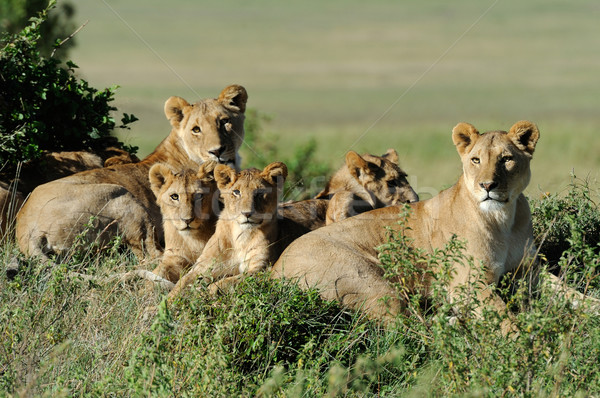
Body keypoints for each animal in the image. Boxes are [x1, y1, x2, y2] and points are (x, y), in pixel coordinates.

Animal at [16, 84, 247, 262]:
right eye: (196, 129)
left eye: (224, 121)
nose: (217, 151)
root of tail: (26, 230)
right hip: (123, 197)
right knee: (152, 255)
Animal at [166, 160, 288, 300]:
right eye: (236, 192)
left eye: (260, 193)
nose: (247, 213)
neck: (241, 236)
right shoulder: (203, 265)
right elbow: (182, 282)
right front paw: (165, 303)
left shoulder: (261, 269)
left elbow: (227, 281)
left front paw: (204, 292)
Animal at [274, 119, 540, 332]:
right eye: (476, 160)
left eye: (507, 159)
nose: (487, 185)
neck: (503, 220)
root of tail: (273, 271)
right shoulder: (467, 283)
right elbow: (505, 319)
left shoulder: (529, 271)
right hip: (370, 281)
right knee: (406, 329)